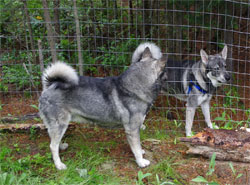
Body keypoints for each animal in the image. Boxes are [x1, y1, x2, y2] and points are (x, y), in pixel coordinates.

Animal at [39, 42, 166, 170]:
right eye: (165, 72)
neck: (132, 88)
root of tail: (50, 85)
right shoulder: (132, 129)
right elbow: (137, 148)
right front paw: (141, 162)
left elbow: (137, 147)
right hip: (60, 124)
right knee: (52, 146)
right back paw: (59, 165)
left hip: (58, 125)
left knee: (54, 140)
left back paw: (61, 146)